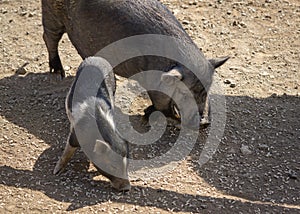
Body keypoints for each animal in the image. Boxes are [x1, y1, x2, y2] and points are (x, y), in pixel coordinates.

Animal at [42, 0, 229, 129]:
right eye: (184, 93)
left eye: (206, 90)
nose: (204, 122)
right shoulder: (152, 81)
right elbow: (161, 104)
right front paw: (150, 116)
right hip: (51, 14)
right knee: (49, 37)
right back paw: (57, 73)